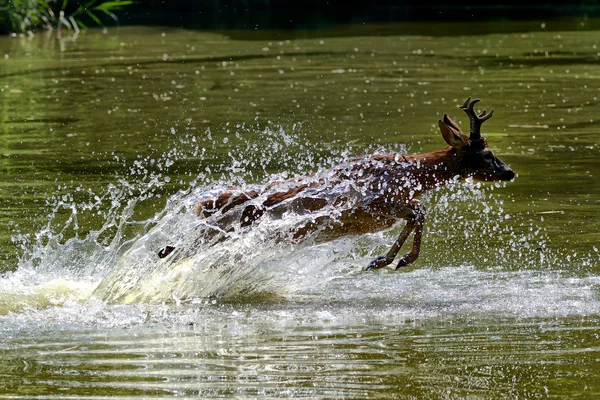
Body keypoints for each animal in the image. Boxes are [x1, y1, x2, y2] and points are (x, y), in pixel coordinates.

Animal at [157, 98, 512, 270]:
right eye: (487, 153)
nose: (509, 172)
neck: (410, 175)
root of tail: (201, 204)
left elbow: (416, 213)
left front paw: (387, 260)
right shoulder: (374, 200)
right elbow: (418, 212)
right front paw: (390, 260)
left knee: (177, 249)